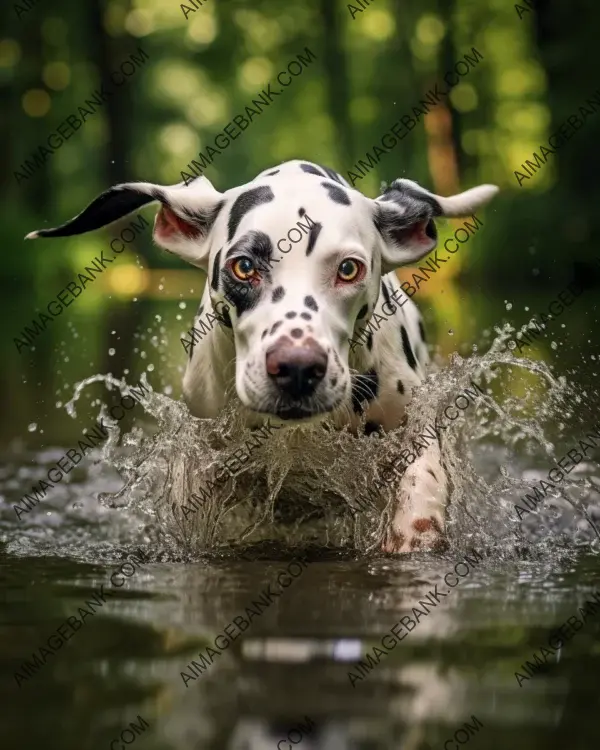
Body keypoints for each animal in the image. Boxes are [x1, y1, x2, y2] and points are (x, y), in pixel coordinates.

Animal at [25, 160, 496, 552]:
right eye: (244, 266)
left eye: (348, 269)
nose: (298, 368)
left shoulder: (410, 426)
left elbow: (422, 479)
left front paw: (415, 527)